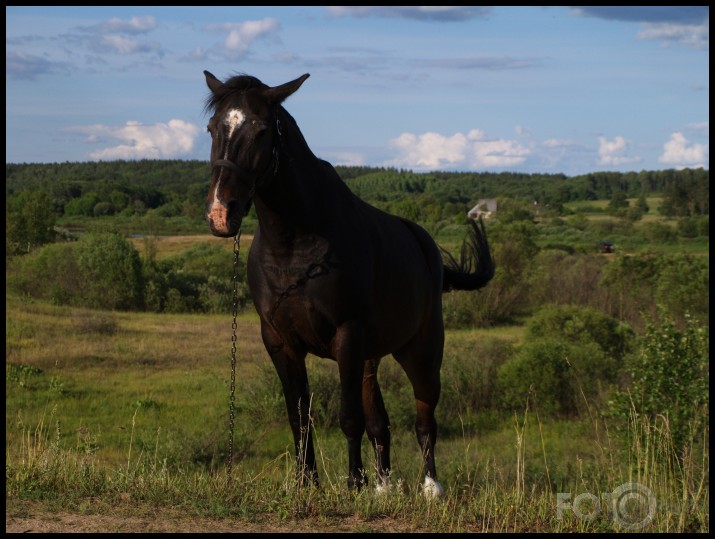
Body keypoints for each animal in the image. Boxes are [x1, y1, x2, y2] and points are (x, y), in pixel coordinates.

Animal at [201, 71, 492, 498]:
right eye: (212, 128)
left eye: (260, 130)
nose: (221, 213)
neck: (294, 246)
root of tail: (426, 247)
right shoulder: (280, 342)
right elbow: (300, 416)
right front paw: (307, 482)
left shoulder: (347, 335)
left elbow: (348, 416)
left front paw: (354, 482)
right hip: (370, 359)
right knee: (381, 423)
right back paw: (384, 487)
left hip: (421, 350)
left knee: (425, 417)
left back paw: (430, 487)